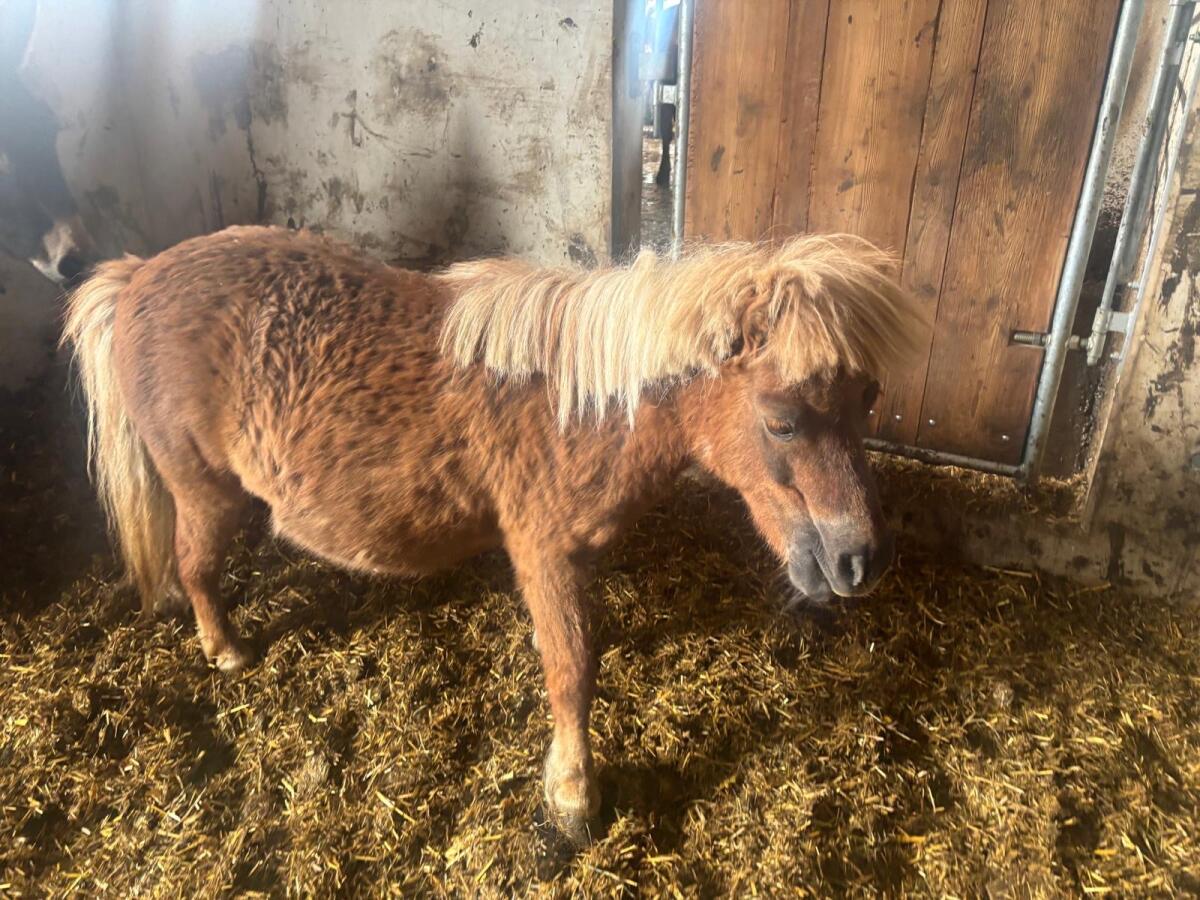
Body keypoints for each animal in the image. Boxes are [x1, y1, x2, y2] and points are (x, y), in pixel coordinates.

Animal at [62, 224, 923, 843]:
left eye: (869, 399)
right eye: (781, 421)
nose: (860, 560)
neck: (578, 409)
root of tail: (137, 277)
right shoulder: (543, 551)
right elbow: (572, 668)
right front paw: (572, 797)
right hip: (201, 490)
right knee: (195, 566)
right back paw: (227, 650)